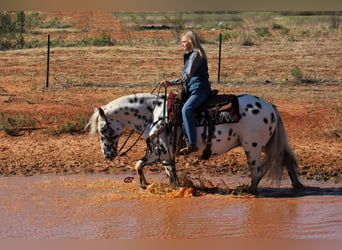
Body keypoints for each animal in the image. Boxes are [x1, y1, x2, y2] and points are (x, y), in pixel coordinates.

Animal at [86, 90, 304, 193]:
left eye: (103, 130)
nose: (108, 155)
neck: (153, 113)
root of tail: (271, 107)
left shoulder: (161, 151)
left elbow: (138, 163)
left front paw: (144, 184)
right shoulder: (166, 154)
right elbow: (169, 175)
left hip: (253, 147)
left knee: (257, 171)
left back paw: (248, 191)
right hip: (267, 144)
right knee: (285, 158)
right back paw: (297, 185)